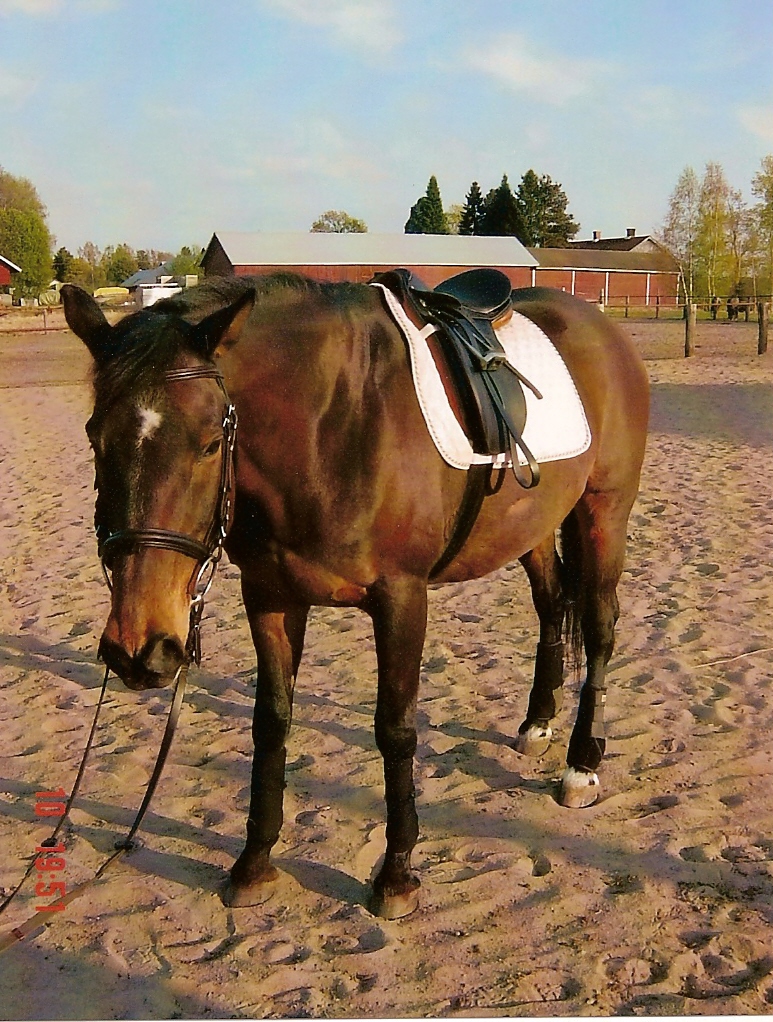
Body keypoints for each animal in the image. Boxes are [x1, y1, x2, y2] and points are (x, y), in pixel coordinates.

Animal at [60, 274, 649, 920]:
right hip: (534, 524)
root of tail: (598, 325)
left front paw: (396, 875)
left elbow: (394, 729)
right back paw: (538, 723)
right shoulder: (271, 597)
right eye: (94, 439)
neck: (332, 430)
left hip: (603, 511)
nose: (139, 648)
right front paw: (253, 862)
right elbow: (271, 722)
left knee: (599, 625)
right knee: (550, 605)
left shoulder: (401, 598)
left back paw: (581, 764)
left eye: (212, 442)